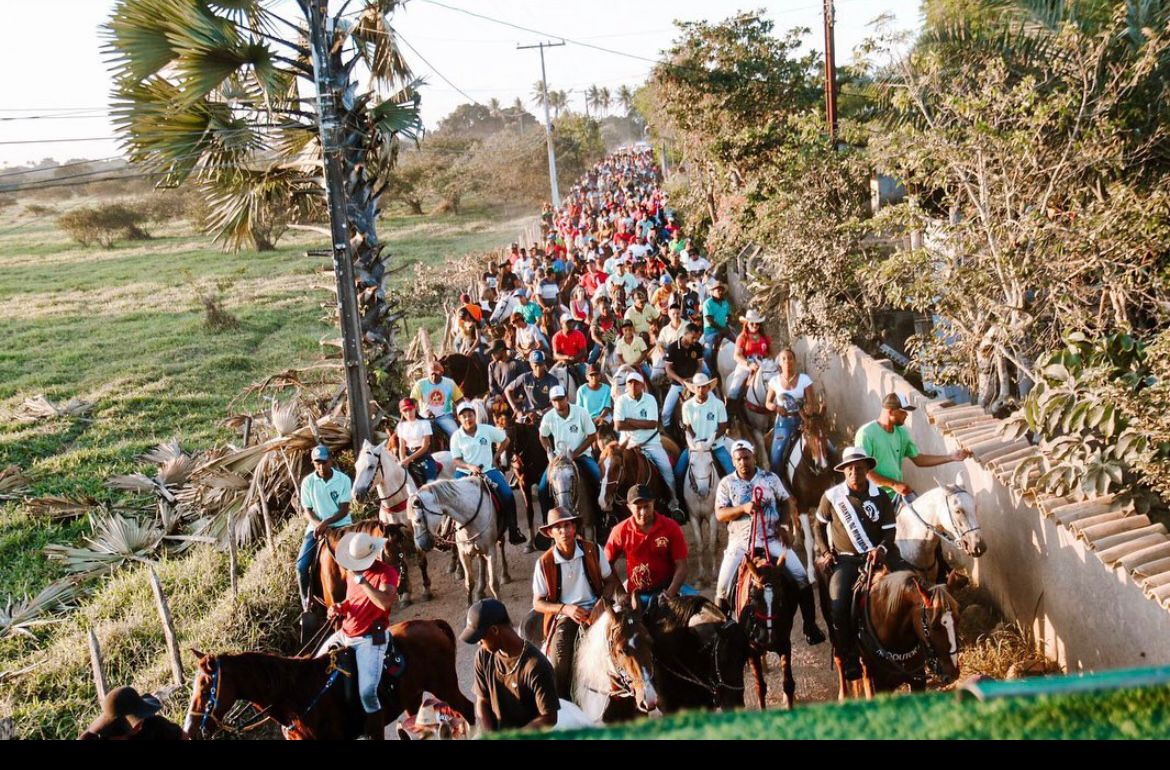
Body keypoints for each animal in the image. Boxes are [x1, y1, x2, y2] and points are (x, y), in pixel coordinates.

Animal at [183, 613, 475, 734]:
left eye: (206, 687)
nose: (190, 728)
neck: (296, 696)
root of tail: (431, 624)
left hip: (445, 685)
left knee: (468, 710)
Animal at [409, 472, 510, 603]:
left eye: (418, 520)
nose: (420, 545)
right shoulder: (463, 553)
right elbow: (469, 583)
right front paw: (470, 605)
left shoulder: (491, 551)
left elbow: (494, 584)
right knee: (481, 561)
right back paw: (480, 591)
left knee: (501, 545)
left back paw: (505, 575)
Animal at [678, 435, 720, 585]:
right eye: (692, 464)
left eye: (711, 462)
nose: (703, 491)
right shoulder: (694, 517)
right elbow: (700, 546)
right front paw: (701, 576)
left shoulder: (712, 515)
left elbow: (712, 546)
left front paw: (714, 574)